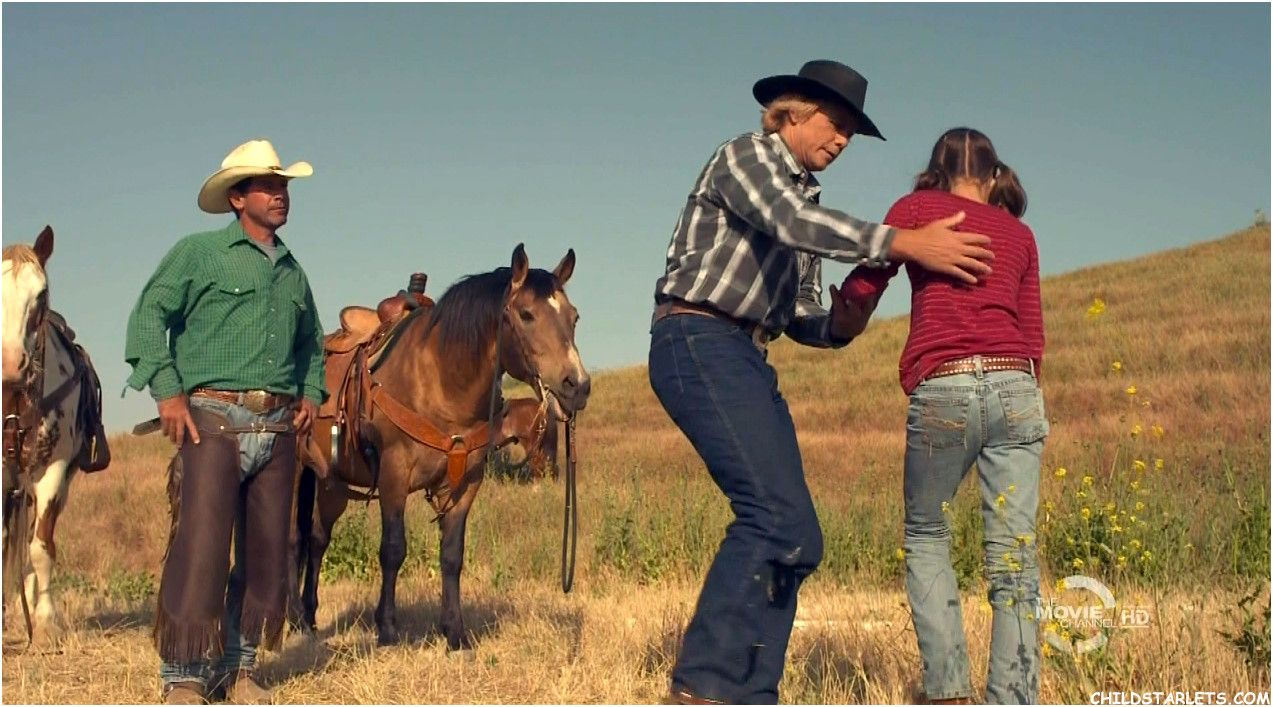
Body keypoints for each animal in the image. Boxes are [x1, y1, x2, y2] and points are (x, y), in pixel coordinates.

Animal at [292, 244, 589, 650]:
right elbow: (393, 549)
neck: (441, 382)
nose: (577, 386)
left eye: (574, 317)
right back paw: (296, 618)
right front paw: (387, 629)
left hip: (331, 482)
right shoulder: (394, 476)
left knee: (318, 538)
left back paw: (306, 616)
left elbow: (452, 555)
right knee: (300, 540)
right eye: (526, 314)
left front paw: (454, 632)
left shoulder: (465, 484)